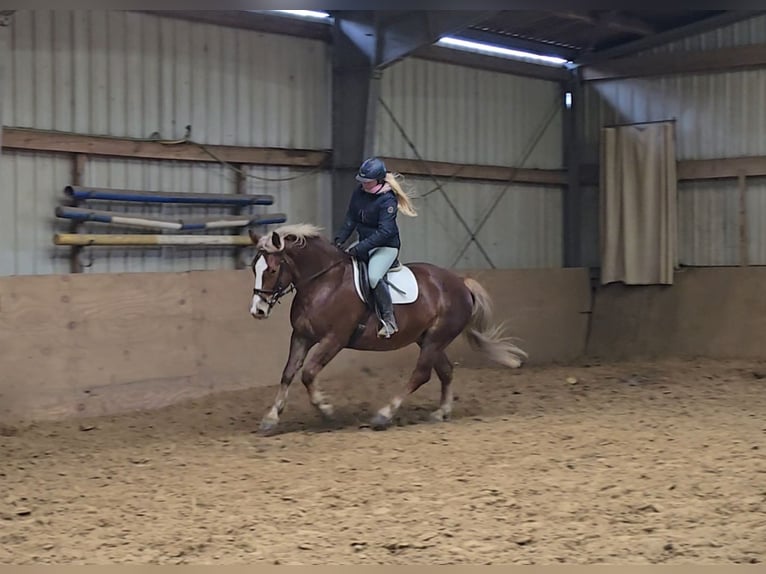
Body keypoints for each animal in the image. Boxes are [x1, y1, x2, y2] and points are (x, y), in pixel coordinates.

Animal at [248, 223, 528, 434]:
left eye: (272, 269)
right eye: (254, 268)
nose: (257, 311)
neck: (324, 282)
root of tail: (461, 282)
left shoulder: (334, 339)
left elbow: (308, 374)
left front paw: (327, 411)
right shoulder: (302, 336)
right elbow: (287, 373)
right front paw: (271, 418)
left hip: (435, 339)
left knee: (421, 374)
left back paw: (384, 415)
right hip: (428, 339)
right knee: (446, 371)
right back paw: (441, 412)